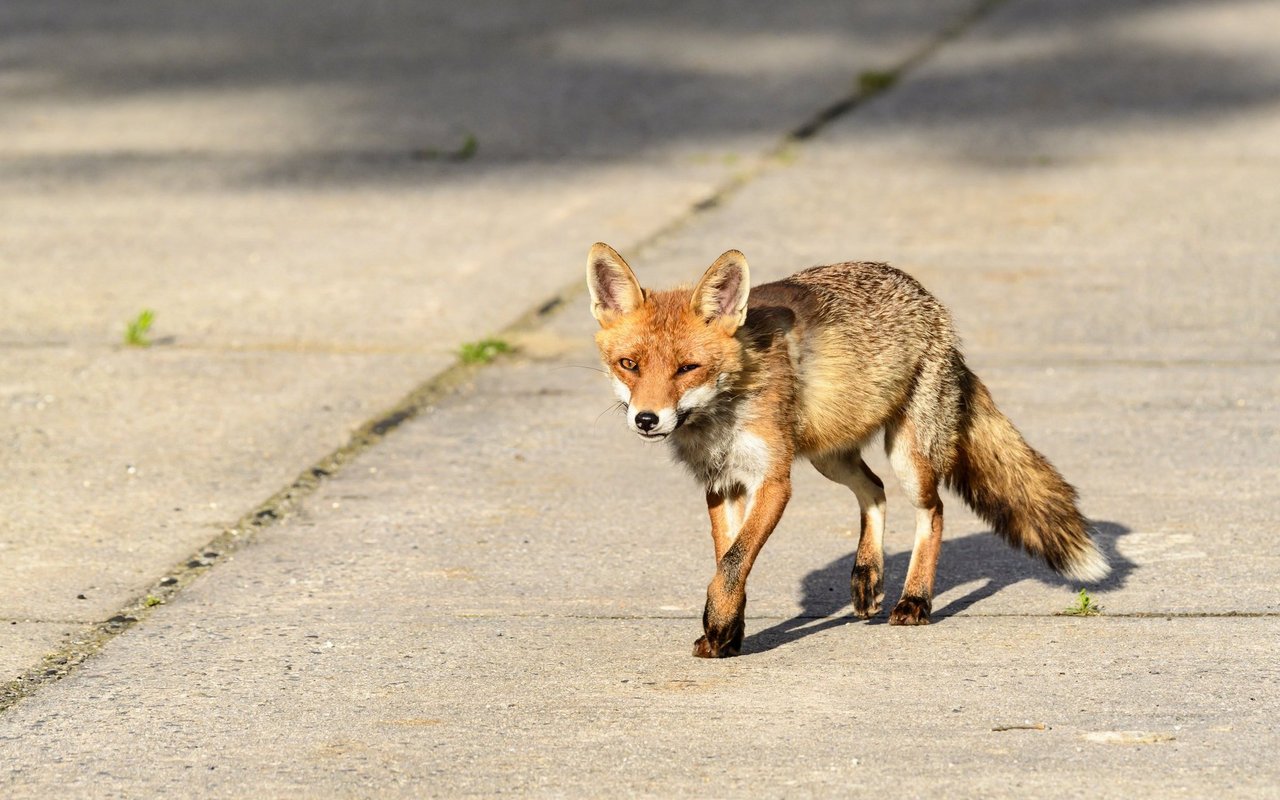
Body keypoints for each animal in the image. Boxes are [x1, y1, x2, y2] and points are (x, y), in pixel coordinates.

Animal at [586, 242, 1108, 658]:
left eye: (687, 368)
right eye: (629, 364)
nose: (647, 419)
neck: (721, 415)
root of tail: (931, 302)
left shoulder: (773, 480)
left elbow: (733, 563)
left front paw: (719, 626)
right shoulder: (722, 484)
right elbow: (728, 563)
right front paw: (728, 630)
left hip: (907, 456)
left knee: (933, 511)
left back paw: (915, 600)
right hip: (829, 455)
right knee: (874, 491)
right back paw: (867, 574)